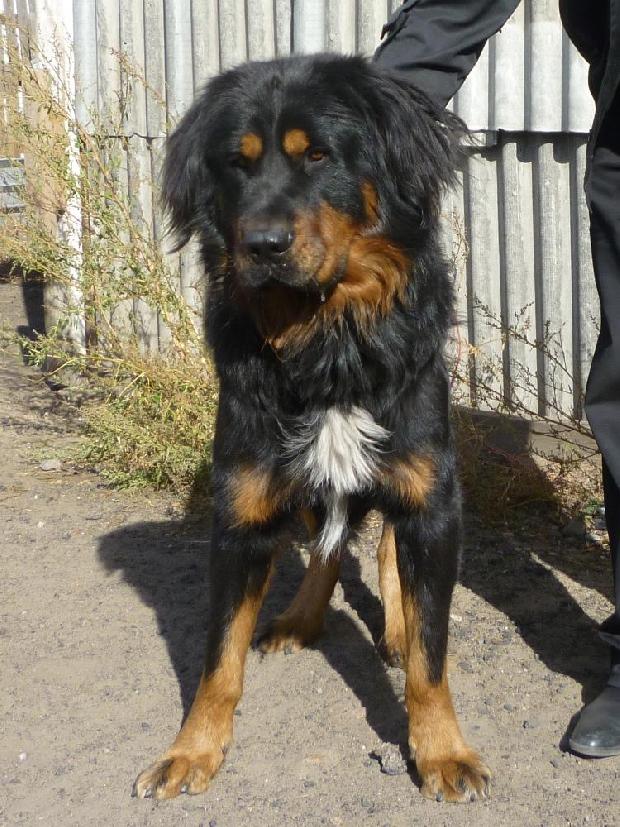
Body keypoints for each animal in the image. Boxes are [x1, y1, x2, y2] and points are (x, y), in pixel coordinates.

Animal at [132, 54, 490, 804]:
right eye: (236, 164)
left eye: (319, 155)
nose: (261, 245)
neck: (325, 338)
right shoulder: (240, 508)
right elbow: (218, 658)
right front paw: (191, 749)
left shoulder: (433, 501)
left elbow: (431, 655)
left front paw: (442, 751)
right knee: (327, 538)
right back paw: (301, 616)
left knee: (377, 545)